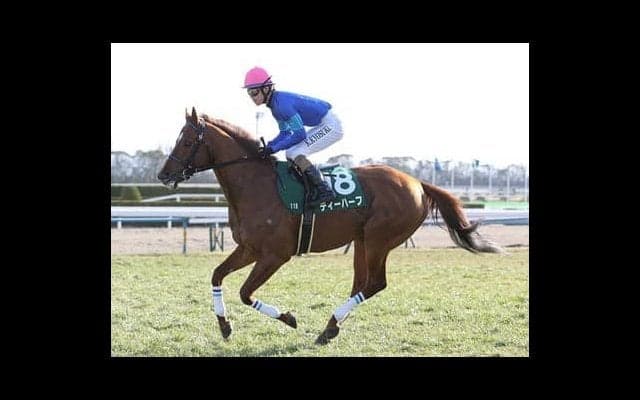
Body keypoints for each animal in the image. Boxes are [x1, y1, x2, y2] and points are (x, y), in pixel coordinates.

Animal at [157, 107, 502, 345]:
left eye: (186, 141)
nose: (163, 175)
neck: (256, 183)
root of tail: (417, 183)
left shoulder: (275, 255)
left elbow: (244, 292)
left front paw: (289, 318)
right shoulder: (249, 248)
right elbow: (217, 275)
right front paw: (225, 326)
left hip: (379, 239)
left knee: (376, 283)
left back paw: (331, 323)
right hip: (362, 241)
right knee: (362, 283)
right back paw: (330, 328)